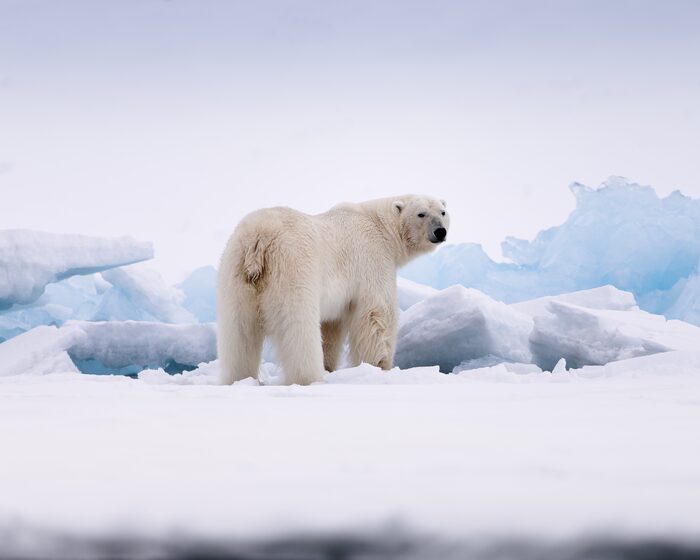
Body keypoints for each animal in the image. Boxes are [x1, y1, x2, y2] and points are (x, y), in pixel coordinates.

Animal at [217, 195, 449, 385]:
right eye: (421, 213)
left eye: (443, 212)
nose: (440, 231)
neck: (380, 226)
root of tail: (259, 240)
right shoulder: (372, 260)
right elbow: (378, 314)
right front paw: (380, 366)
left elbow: (331, 326)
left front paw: (330, 366)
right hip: (292, 269)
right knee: (298, 327)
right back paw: (309, 378)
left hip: (235, 274)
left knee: (238, 333)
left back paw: (238, 378)